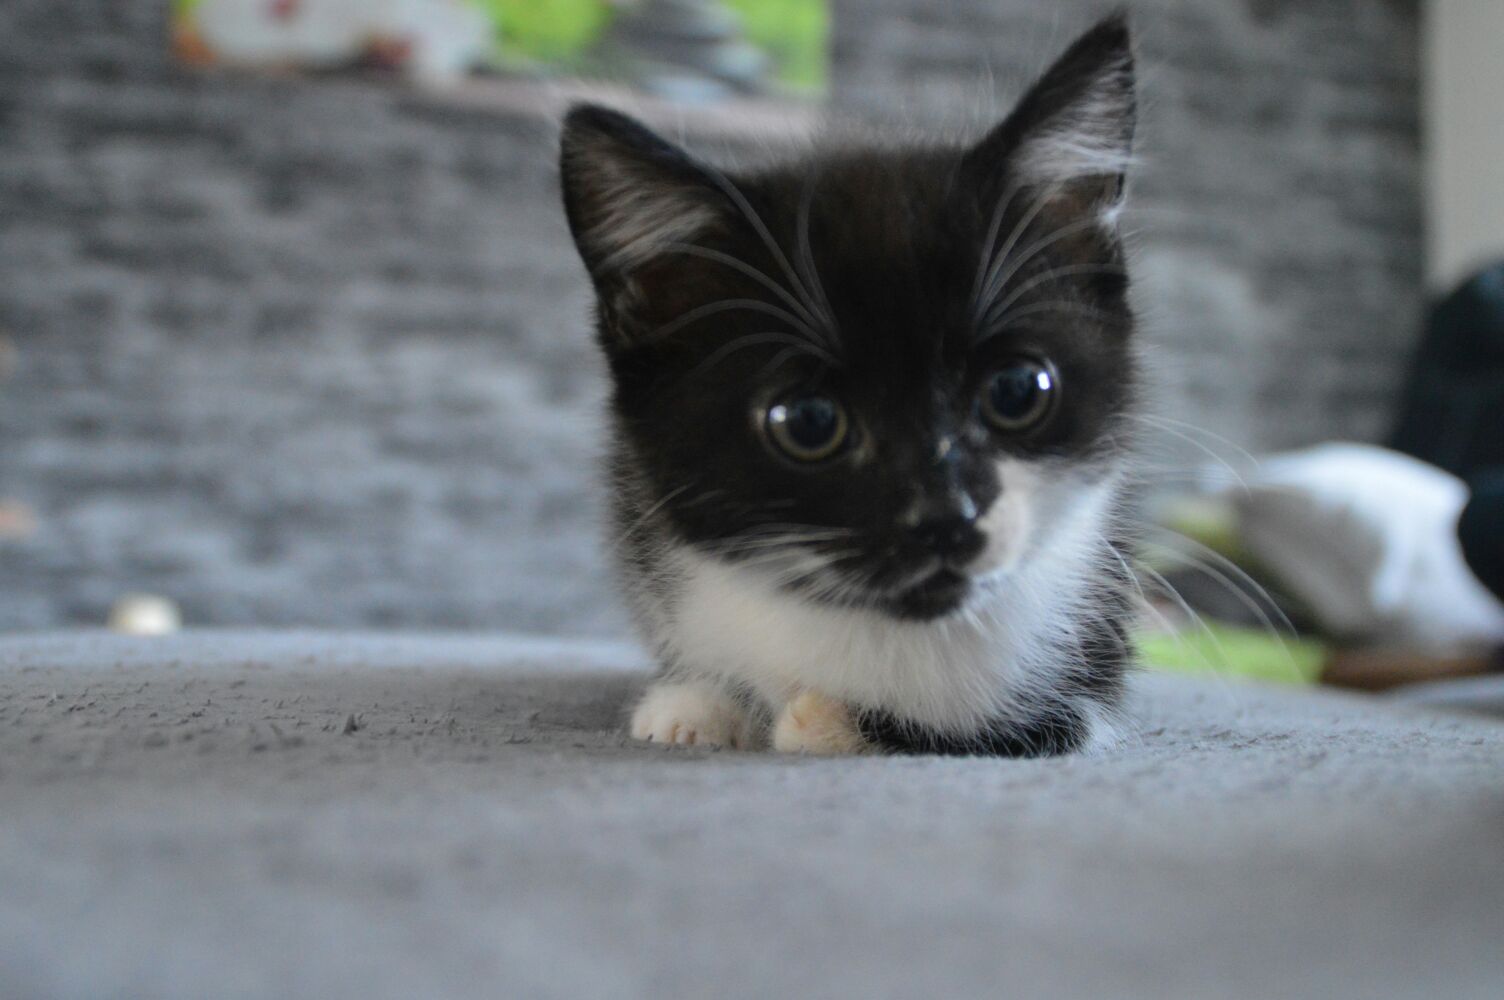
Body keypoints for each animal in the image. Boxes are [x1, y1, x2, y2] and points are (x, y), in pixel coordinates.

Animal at [562, 15, 1137, 751]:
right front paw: (697, 703)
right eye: (809, 420)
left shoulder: (1090, 670)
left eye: (1017, 391)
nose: (946, 516)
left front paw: (829, 723)